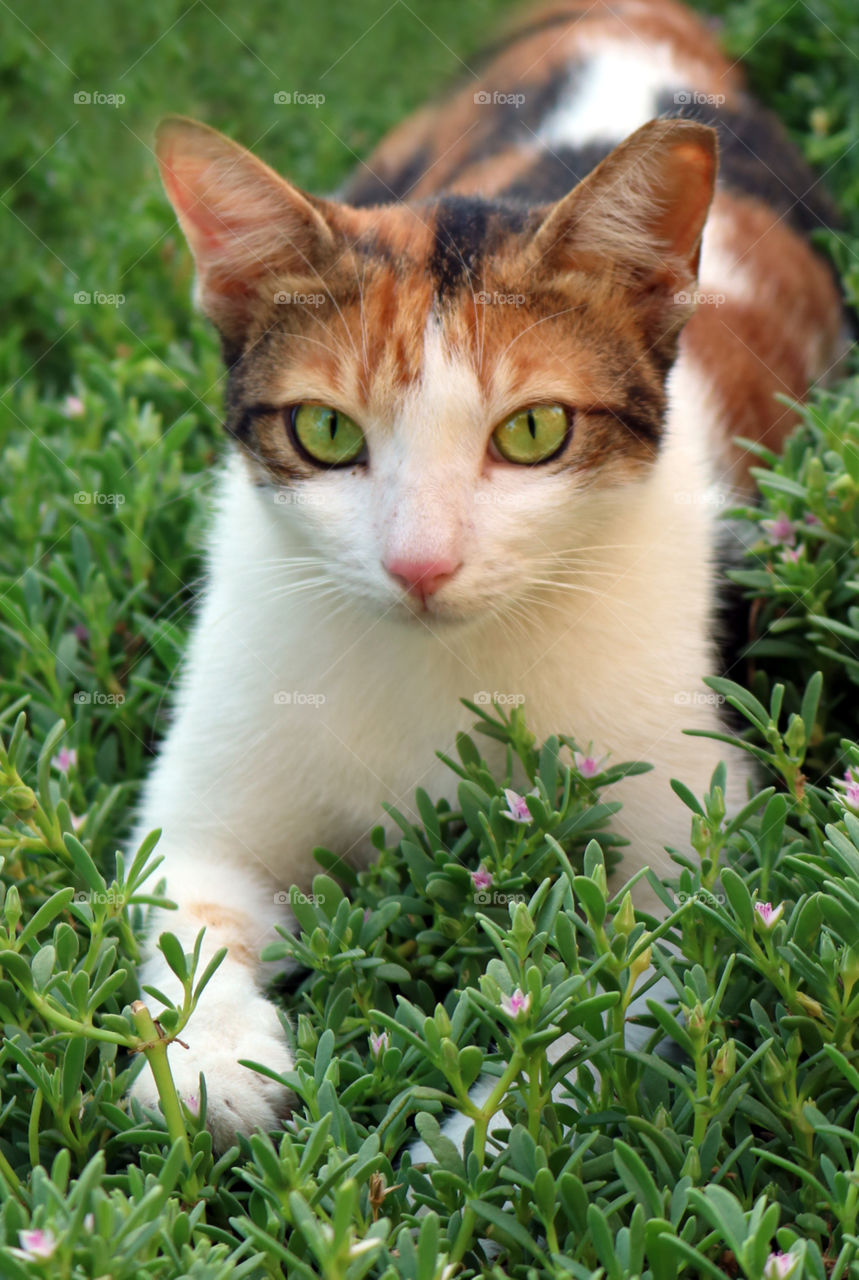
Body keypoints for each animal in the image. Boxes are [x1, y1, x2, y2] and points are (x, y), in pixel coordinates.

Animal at [132, 0, 844, 1152]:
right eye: (326, 431)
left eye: (534, 430)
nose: (420, 561)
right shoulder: (210, 773)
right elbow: (182, 896)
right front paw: (207, 1056)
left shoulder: (693, 841)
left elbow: (644, 971)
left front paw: (484, 1132)